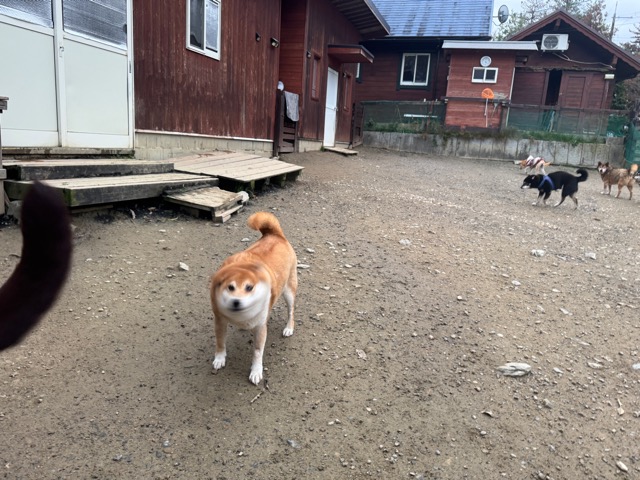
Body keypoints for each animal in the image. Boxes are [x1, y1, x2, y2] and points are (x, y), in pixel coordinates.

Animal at [210, 211, 297, 384]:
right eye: (230, 287)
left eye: (249, 288)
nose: (236, 302)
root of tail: (275, 234)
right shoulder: (220, 320)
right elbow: (220, 342)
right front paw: (220, 358)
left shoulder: (260, 327)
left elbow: (257, 351)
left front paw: (256, 371)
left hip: (289, 291)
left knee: (291, 311)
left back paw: (289, 328)